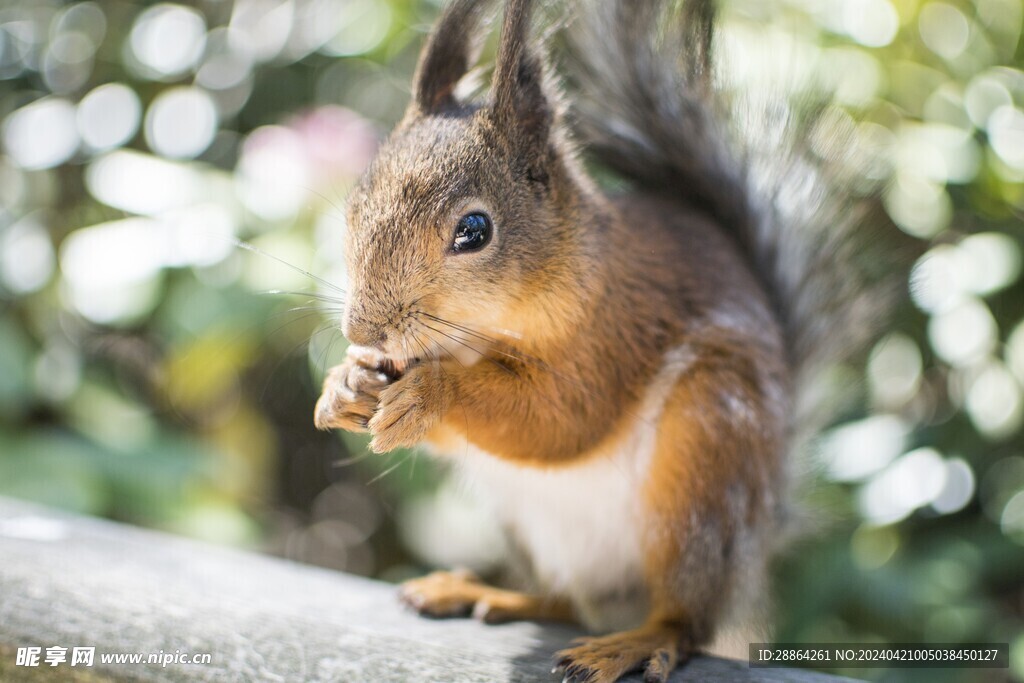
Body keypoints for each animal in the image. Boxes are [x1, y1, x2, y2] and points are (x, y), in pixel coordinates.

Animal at [309, 1, 897, 683]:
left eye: (474, 231)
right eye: (355, 203)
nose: (362, 330)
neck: (479, 335)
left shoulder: (613, 333)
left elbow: (562, 419)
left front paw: (431, 392)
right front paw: (343, 385)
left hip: (707, 462)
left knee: (686, 619)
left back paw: (634, 641)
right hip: (529, 526)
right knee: (565, 602)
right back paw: (489, 593)